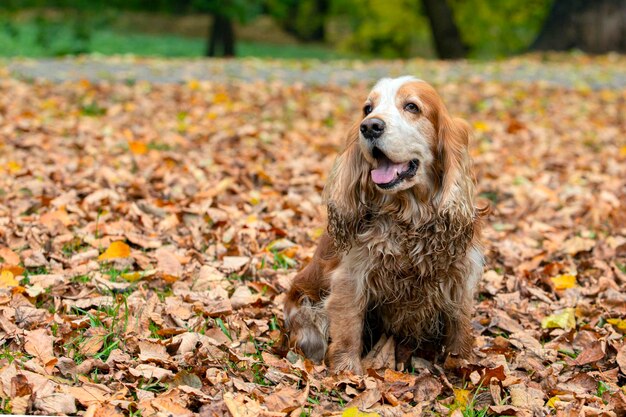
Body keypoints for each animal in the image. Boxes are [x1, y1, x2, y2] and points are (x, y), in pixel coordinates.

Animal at [282, 76, 482, 372]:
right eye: (367, 109)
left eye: (412, 106)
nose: (370, 126)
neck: (409, 215)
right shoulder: (351, 277)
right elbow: (348, 328)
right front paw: (347, 372)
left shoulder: (459, 277)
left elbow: (460, 328)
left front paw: (464, 366)